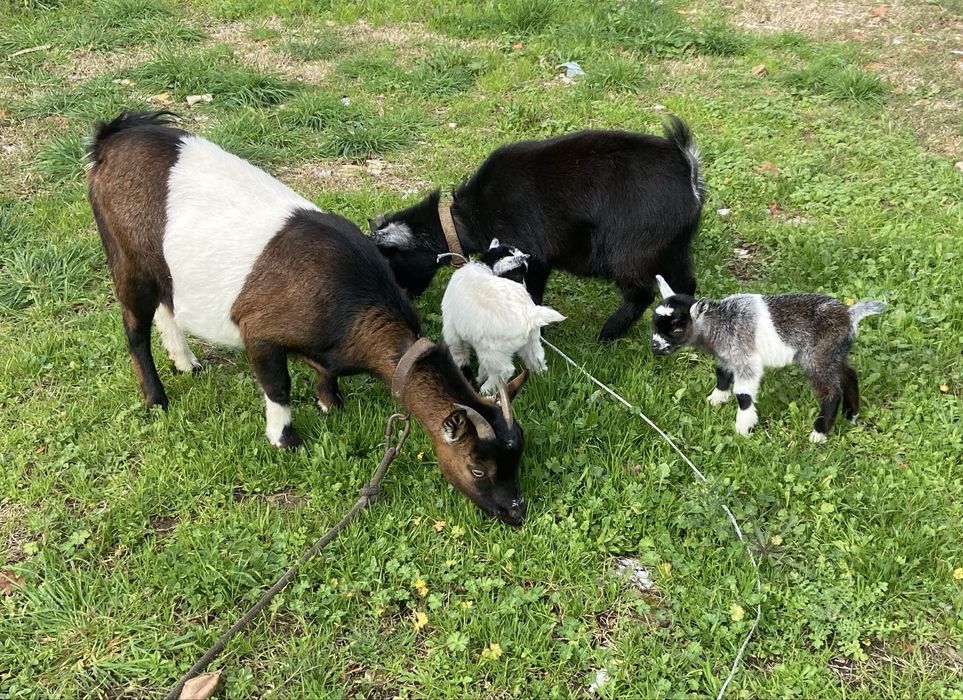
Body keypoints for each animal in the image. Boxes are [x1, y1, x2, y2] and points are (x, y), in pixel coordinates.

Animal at [86, 110, 530, 525]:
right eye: (477, 468)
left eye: (518, 458)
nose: (515, 512)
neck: (348, 300)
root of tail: (110, 139)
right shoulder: (259, 332)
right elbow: (277, 386)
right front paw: (285, 439)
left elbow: (325, 371)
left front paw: (330, 402)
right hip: (125, 257)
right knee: (135, 329)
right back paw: (156, 398)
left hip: (160, 267)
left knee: (166, 306)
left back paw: (186, 362)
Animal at [370, 117, 704, 342]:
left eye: (390, 259)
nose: (405, 298)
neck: (466, 217)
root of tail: (687, 170)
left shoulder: (532, 259)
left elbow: (530, 295)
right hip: (674, 249)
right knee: (686, 283)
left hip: (629, 253)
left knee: (641, 293)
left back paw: (607, 334)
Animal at [442, 240, 565, 395]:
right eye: (519, 275)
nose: (525, 286)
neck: (484, 267)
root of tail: (529, 316)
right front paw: (480, 375)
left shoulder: (451, 330)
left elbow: (459, 355)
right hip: (531, 341)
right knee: (537, 359)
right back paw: (540, 377)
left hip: (491, 351)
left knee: (504, 371)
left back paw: (486, 389)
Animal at [650, 275, 885, 442]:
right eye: (655, 325)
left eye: (677, 329)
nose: (654, 346)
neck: (720, 322)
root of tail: (850, 314)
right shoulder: (727, 356)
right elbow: (722, 375)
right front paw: (715, 400)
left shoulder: (745, 357)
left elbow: (743, 394)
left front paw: (743, 427)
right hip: (834, 353)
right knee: (849, 374)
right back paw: (850, 414)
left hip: (818, 356)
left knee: (832, 391)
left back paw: (819, 434)